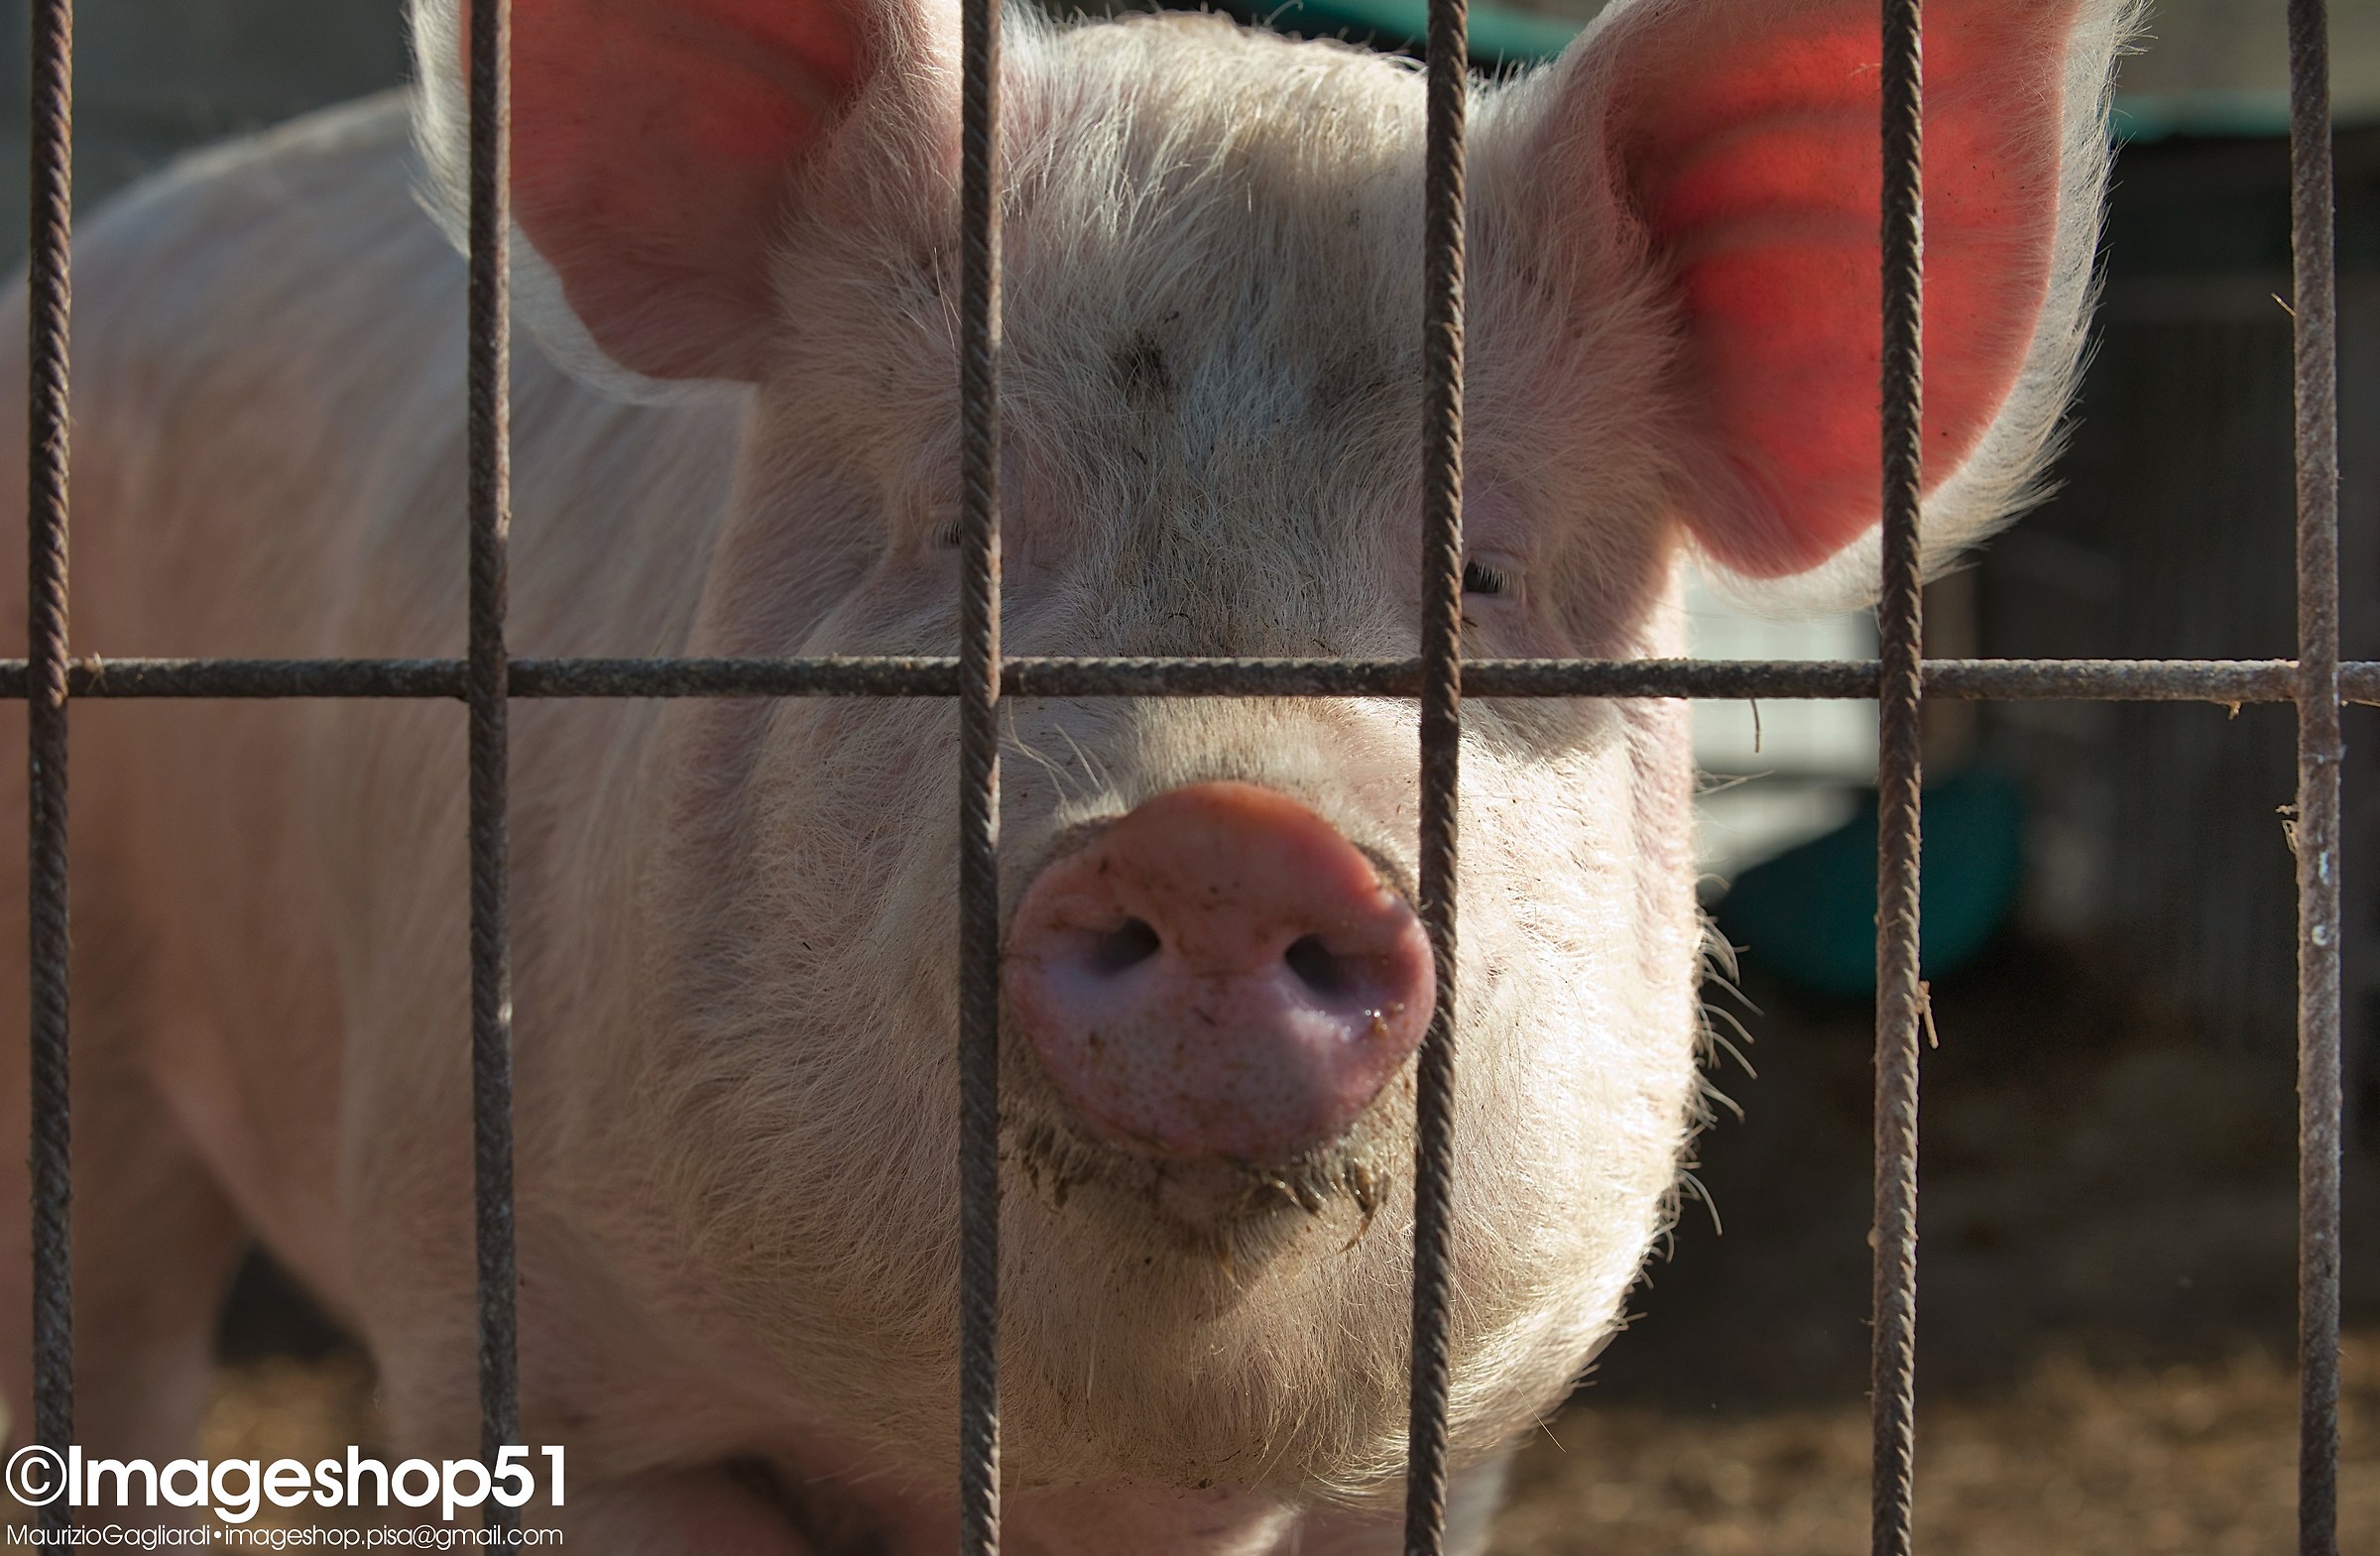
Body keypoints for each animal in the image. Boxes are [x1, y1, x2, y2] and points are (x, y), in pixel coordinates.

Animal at [0, 0, 2130, 1548]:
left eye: (1477, 575)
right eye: (964, 525)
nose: (1228, 831)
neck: (1105, 1470)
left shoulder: (1458, 1445)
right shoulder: (523, 1341)